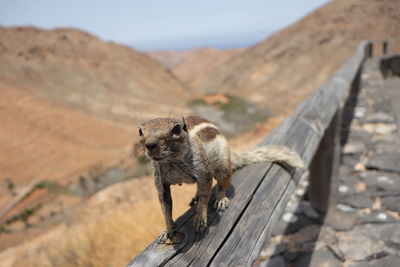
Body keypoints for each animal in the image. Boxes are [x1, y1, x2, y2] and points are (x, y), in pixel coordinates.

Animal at [138, 115, 304, 245]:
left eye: (176, 129)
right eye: (140, 132)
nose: (150, 145)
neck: (173, 161)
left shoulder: (203, 170)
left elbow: (205, 194)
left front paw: (200, 217)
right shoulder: (160, 181)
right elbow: (165, 205)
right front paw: (167, 229)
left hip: (223, 164)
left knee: (224, 183)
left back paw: (220, 199)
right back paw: (196, 197)